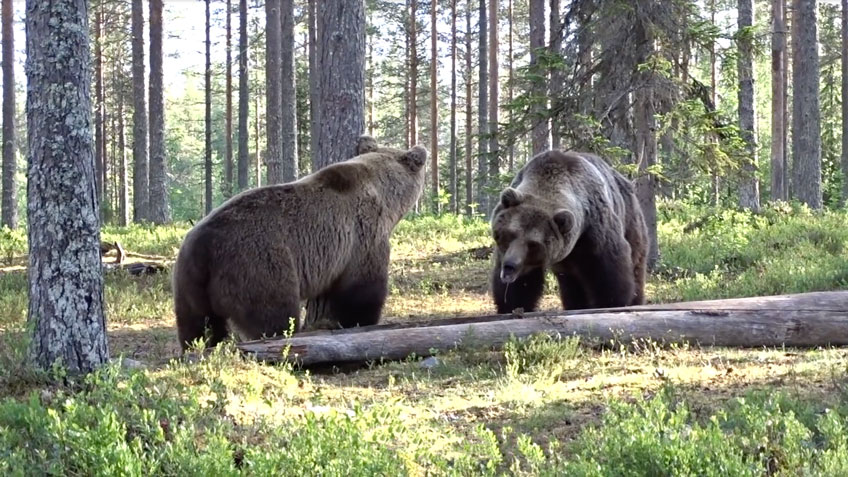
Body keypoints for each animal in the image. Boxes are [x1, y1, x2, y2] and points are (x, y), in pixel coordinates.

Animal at [172, 135, 427, 351]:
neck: (382, 193)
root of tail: (203, 248)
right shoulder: (362, 234)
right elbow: (364, 286)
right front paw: (359, 320)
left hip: (188, 279)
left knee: (198, 324)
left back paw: (200, 347)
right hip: (257, 265)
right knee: (274, 314)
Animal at [490, 149, 648, 314]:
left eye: (533, 244)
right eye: (510, 234)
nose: (510, 266)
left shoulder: (595, 230)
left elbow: (610, 271)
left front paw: (612, 301)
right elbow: (520, 286)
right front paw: (510, 304)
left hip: (630, 221)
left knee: (636, 264)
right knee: (572, 285)